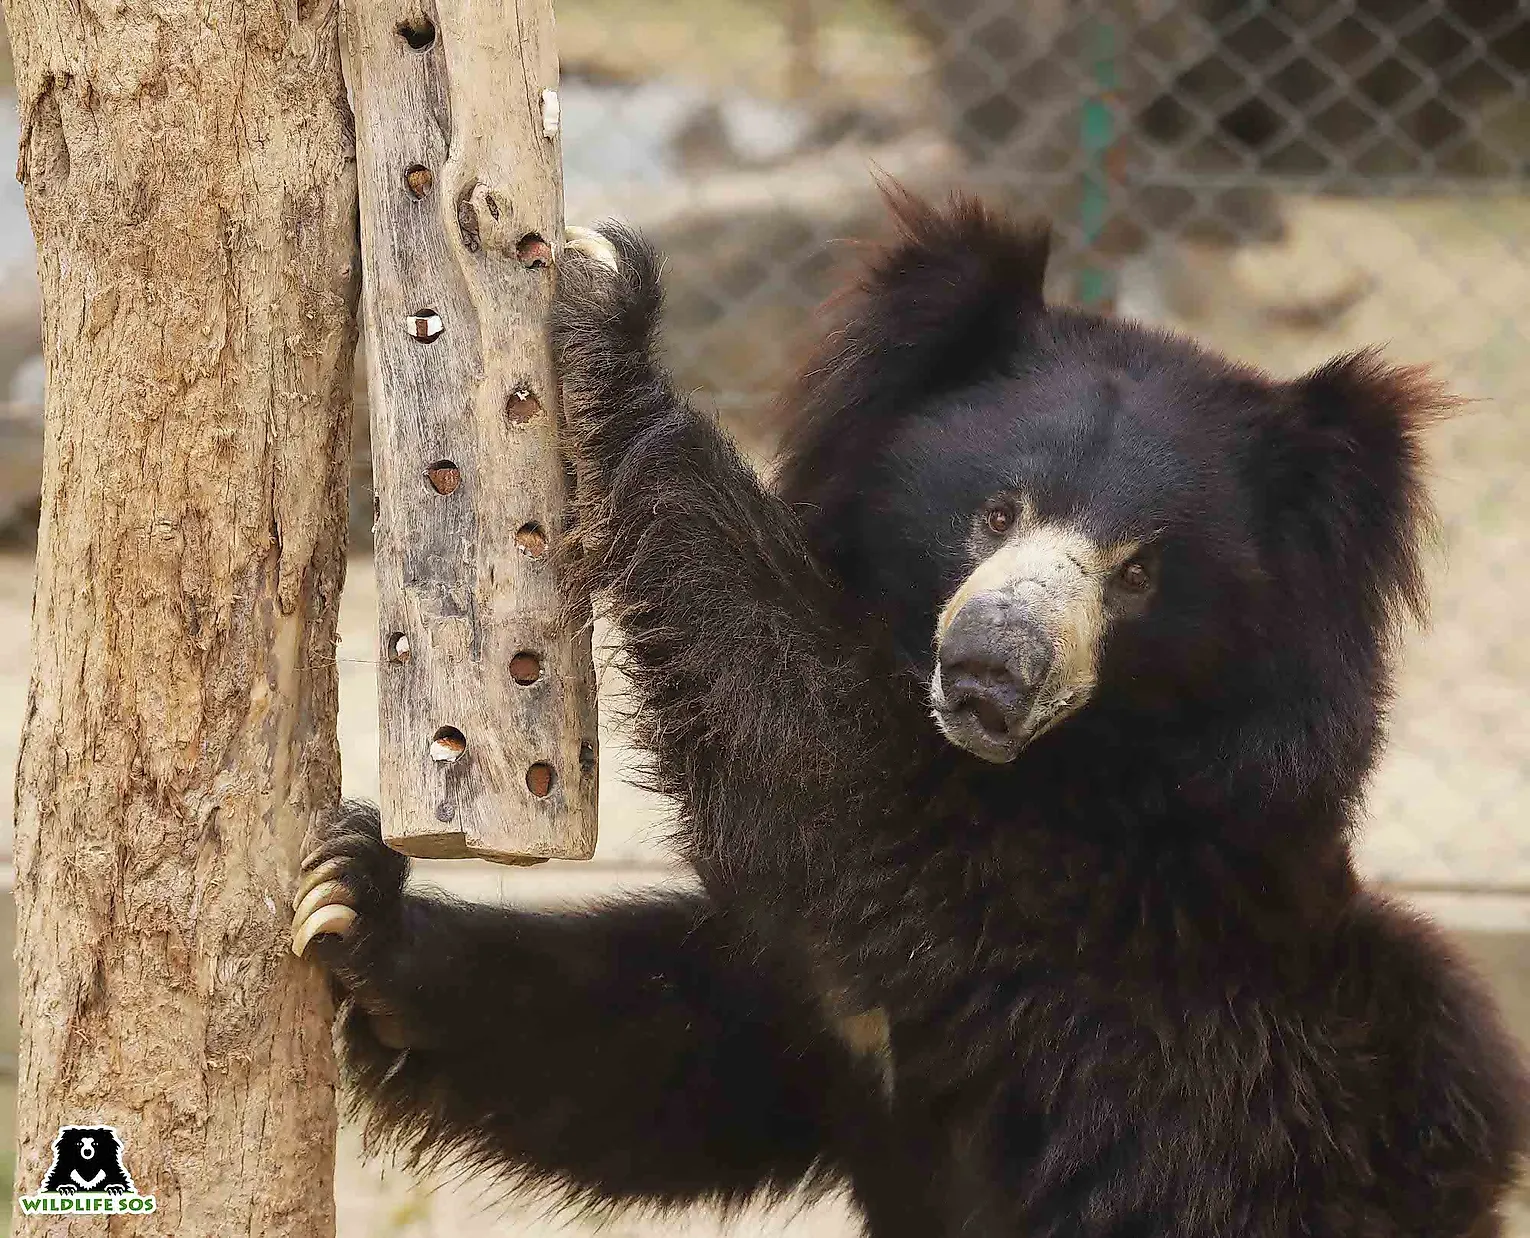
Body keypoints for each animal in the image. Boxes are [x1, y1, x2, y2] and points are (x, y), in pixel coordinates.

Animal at [292, 193, 1529, 1236]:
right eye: (996, 510)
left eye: (1138, 571)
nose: (990, 673)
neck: (1063, 767)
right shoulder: (826, 1010)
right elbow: (652, 1046)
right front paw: (351, 897)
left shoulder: (1081, 901)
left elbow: (838, 783)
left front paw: (605, 312)